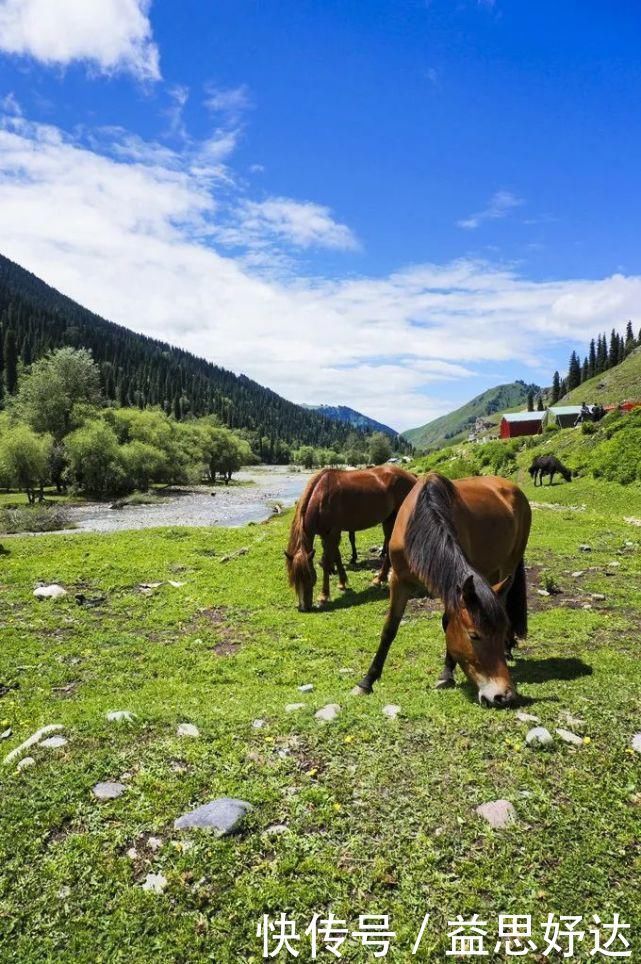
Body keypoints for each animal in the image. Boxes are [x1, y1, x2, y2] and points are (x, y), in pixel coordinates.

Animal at [284, 466, 416, 612]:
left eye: (309, 577)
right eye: (294, 579)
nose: (304, 608)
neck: (321, 496)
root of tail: (411, 476)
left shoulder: (333, 533)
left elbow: (327, 562)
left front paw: (324, 595)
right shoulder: (326, 535)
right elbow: (336, 557)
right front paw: (342, 582)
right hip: (388, 520)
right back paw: (381, 578)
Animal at [356, 472, 528, 708]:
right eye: (474, 636)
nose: (504, 696)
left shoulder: (451, 586)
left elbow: (448, 623)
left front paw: (446, 673)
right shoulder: (399, 581)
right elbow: (389, 629)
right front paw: (367, 681)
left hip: (509, 563)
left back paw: (508, 647)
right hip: (492, 571)